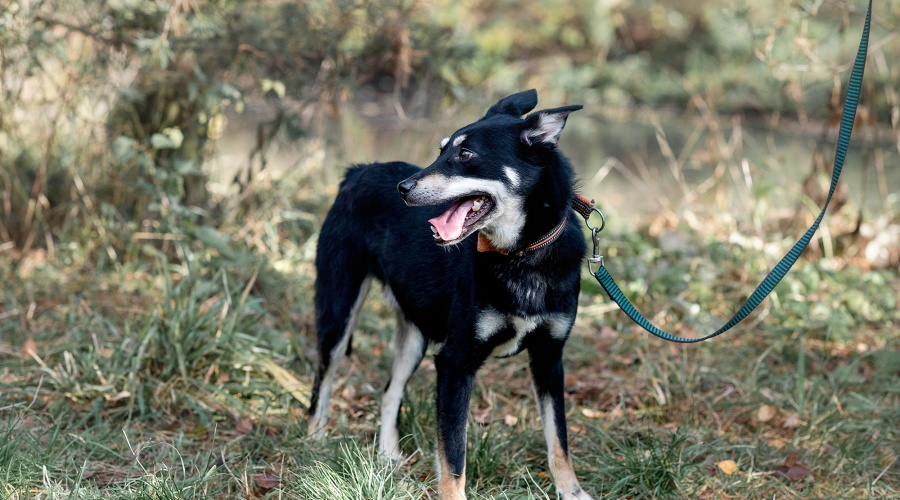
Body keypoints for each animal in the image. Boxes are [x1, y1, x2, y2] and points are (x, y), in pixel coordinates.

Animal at [309, 89, 591, 499]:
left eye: (465, 154)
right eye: (441, 150)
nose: (404, 189)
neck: (522, 256)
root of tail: (358, 171)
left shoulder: (549, 358)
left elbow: (559, 439)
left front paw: (572, 491)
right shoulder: (456, 363)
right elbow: (454, 458)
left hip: (414, 338)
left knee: (390, 391)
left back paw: (388, 456)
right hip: (338, 311)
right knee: (323, 380)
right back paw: (314, 439)